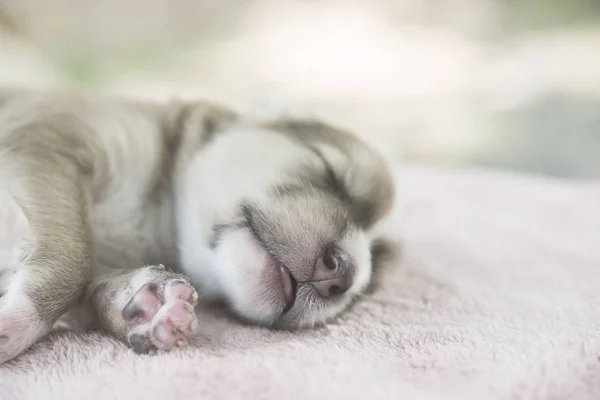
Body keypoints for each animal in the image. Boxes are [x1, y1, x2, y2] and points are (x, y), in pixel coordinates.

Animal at [0, 88, 394, 362]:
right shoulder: (39, 134)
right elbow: (73, 257)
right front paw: (16, 323)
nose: (343, 274)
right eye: (330, 174)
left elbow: (87, 283)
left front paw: (149, 305)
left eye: (372, 267)